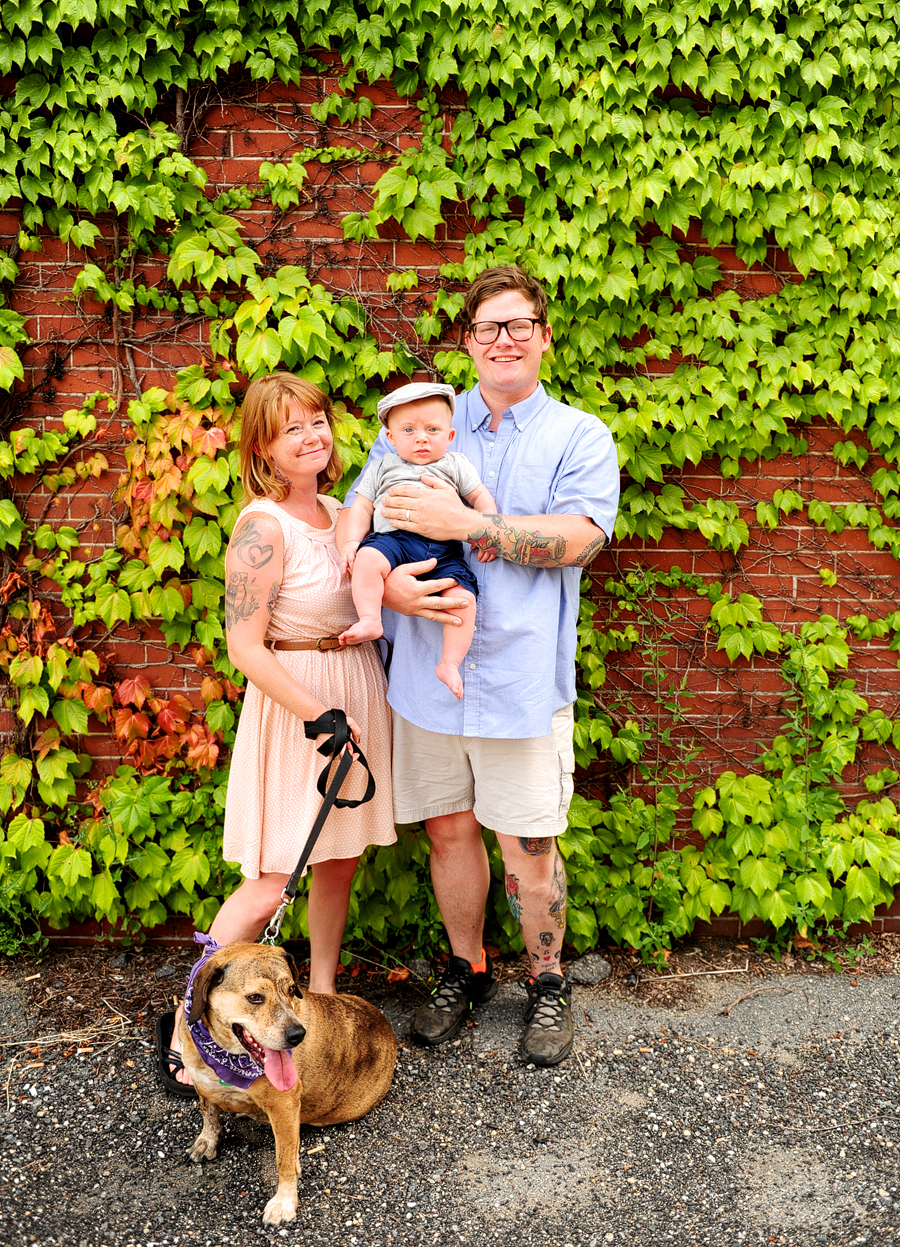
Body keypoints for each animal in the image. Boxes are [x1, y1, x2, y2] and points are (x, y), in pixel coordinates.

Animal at [177, 937, 393, 1222]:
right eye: (255, 997)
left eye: (292, 989)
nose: (298, 1034)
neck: (225, 1056)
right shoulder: (203, 1085)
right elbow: (209, 1114)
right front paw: (207, 1141)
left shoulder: (284, 1107)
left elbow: (285, 1159)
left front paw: (284, 1202)